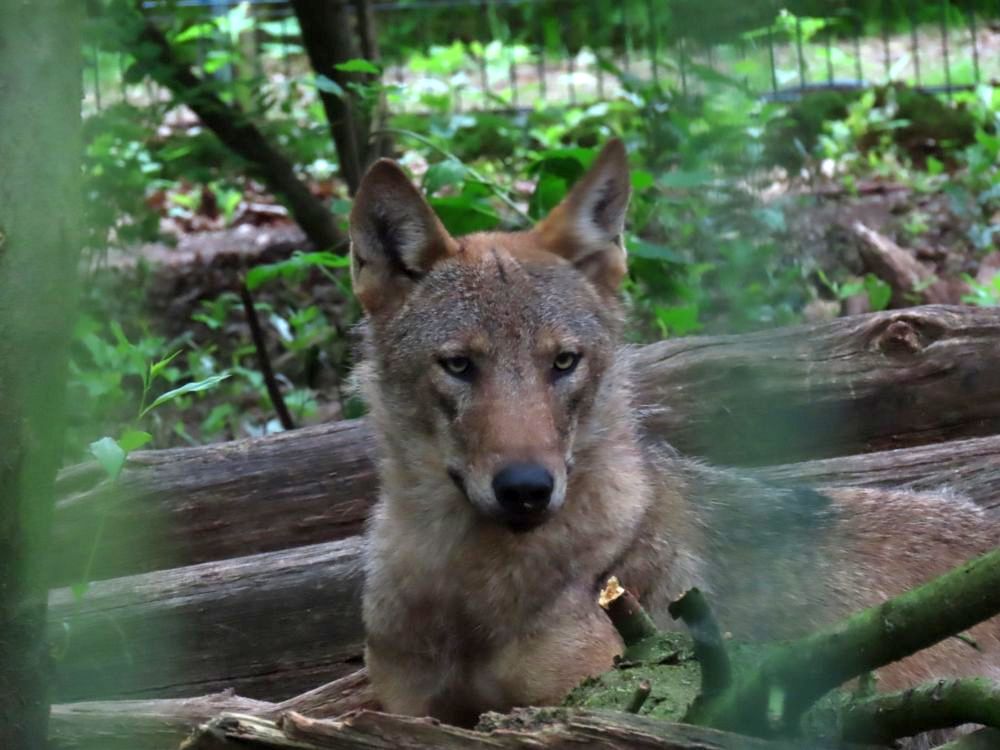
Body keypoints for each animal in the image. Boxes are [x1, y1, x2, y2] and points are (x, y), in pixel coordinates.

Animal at [349, 139, 999, 732]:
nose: (527, 489)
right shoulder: (412, 711)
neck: (462, 591)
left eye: (563, 362)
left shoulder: (592, 694)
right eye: (459, 365)